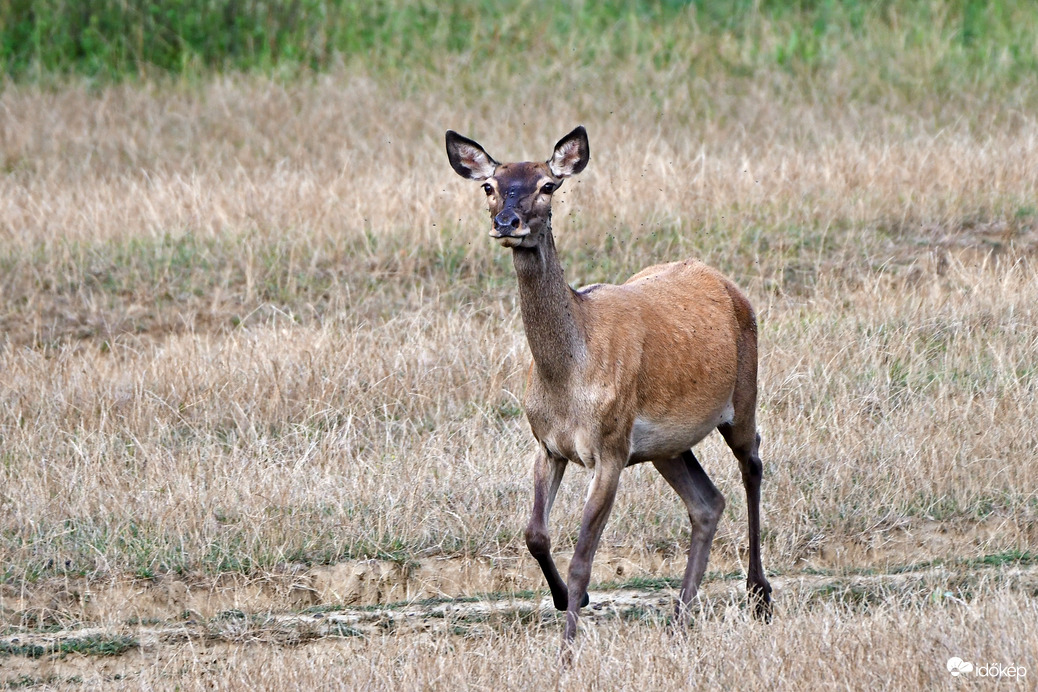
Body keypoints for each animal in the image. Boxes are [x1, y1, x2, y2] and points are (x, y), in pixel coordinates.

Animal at [444, 124, 772, 643]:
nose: (507, 222)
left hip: (743, 395)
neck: (567, 380)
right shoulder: (548, 445)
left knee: (752, 461)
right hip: (667, 446)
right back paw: (680, 617)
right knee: (707, 502)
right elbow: (534, 534)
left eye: (548, 186)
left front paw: (568, 643)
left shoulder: (611, 448)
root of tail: (725, 282)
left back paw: (759, 594)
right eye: (489, 186)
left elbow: (582, 559)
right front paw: (565, 601)